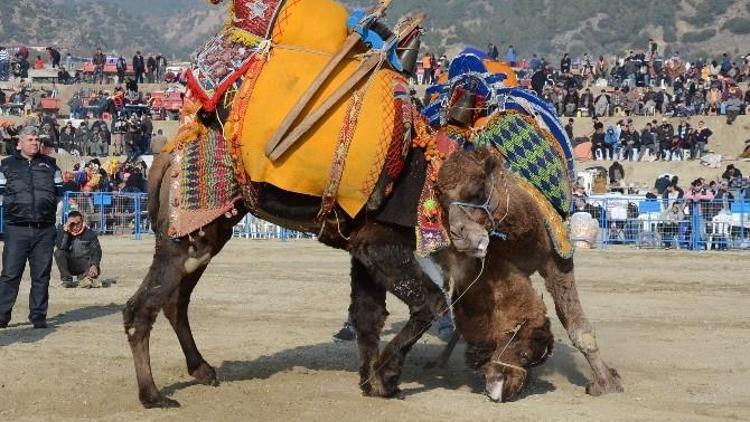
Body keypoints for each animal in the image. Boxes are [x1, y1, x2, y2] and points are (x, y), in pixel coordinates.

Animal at [432, 149, 624, 402]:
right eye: (443, 202)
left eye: (478, 192)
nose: (460, 235)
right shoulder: (495, 266)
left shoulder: (557, 260)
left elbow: (576, 325)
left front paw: (607, 384)